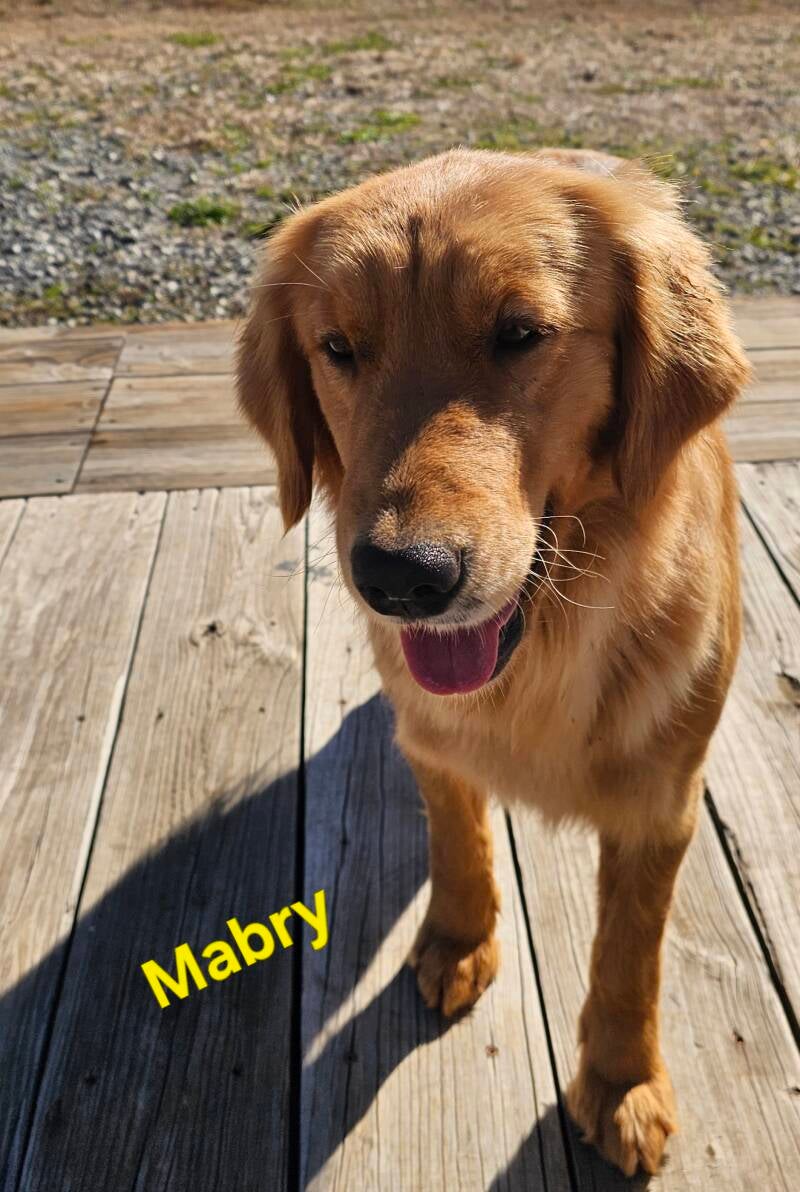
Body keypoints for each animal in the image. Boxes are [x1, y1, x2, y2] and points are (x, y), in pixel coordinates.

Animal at [237, 147, 749, 1176]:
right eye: (338, 347)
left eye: (521, 333)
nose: (400, 578)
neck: (543, 658)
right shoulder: (432, 738)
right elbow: (456, 839)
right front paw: (457, 938)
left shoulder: (663, 805)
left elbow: (630, 959)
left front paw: (622, 1084)